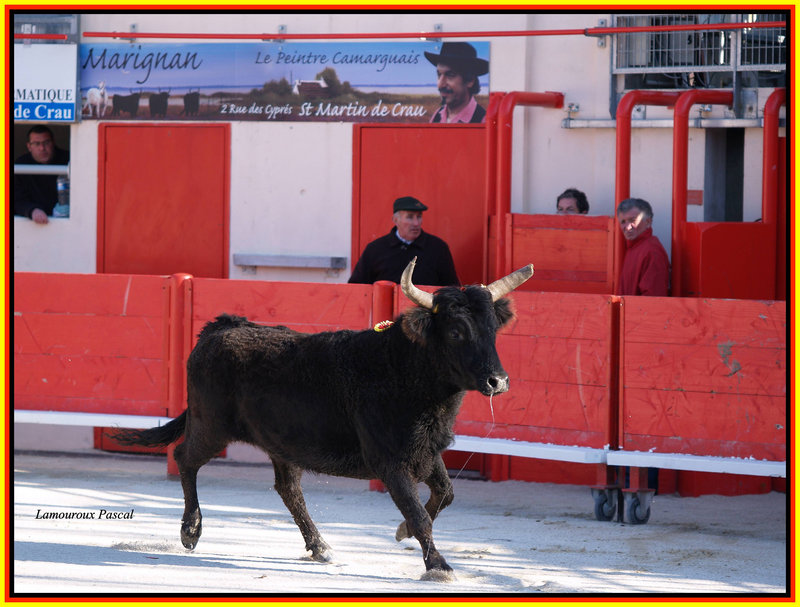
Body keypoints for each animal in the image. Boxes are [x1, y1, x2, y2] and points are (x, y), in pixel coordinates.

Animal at [112, 258, 536, 580]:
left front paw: (401, 533)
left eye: (492, 329)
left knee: (288, 489)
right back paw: (191, 532)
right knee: (185, 458)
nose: (498, 381)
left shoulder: (426, 452)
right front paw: (439, 566)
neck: (402, 369)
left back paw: (321, 547)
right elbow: (418, 514)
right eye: (456, 331)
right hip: (211, 426)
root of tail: (223, 326)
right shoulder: (391, 461)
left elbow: (445, 494)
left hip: (278, 443)